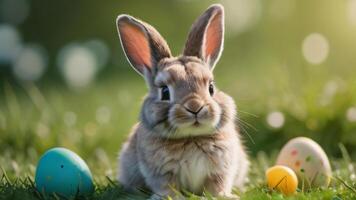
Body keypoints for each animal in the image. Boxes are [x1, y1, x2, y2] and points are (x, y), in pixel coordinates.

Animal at [115, 3, 249, 199]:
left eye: (211, 88)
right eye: (165, 92)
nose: (195, 107)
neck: (191, 136)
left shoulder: (221, 170)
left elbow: (217, 185)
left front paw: (224, 196)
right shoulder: (162, 174)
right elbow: (167, 187)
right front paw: (167, 197)